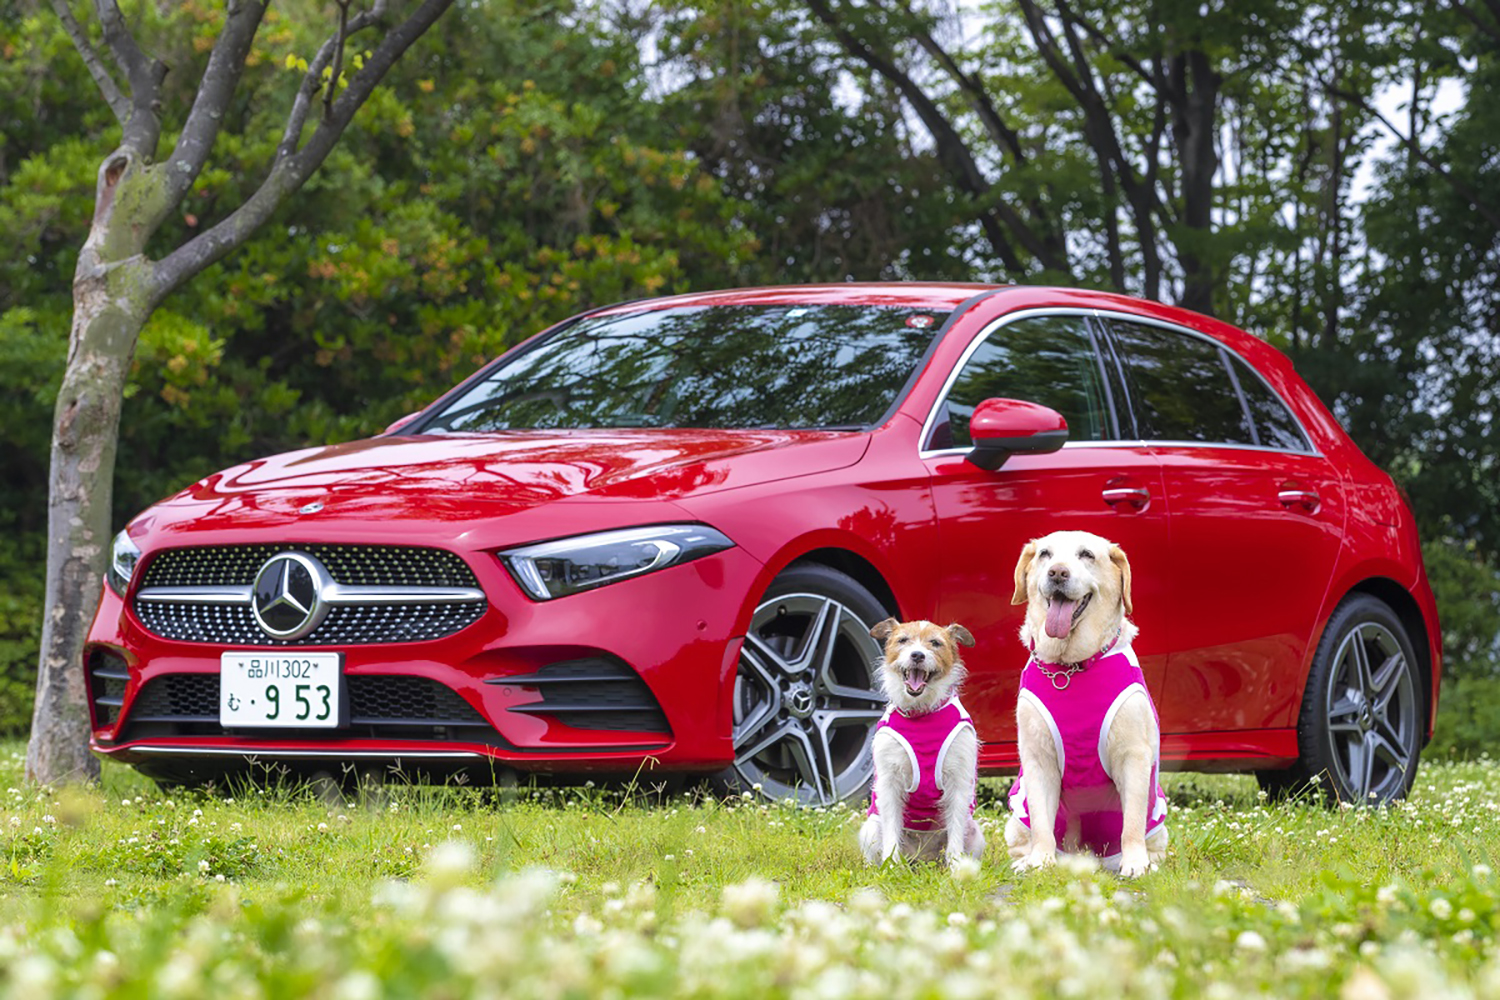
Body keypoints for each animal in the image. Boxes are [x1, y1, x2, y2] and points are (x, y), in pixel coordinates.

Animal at [864, 617, 990, 869]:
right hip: (871, 828)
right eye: (903, 640)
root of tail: (922, 858)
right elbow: (891, 828)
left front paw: (956, 866)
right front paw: (891, 865)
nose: (917, 655)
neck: (921, 713)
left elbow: (955, 827)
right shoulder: (889, 783)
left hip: (974, 833)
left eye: (935, 643)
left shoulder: (958, 782)